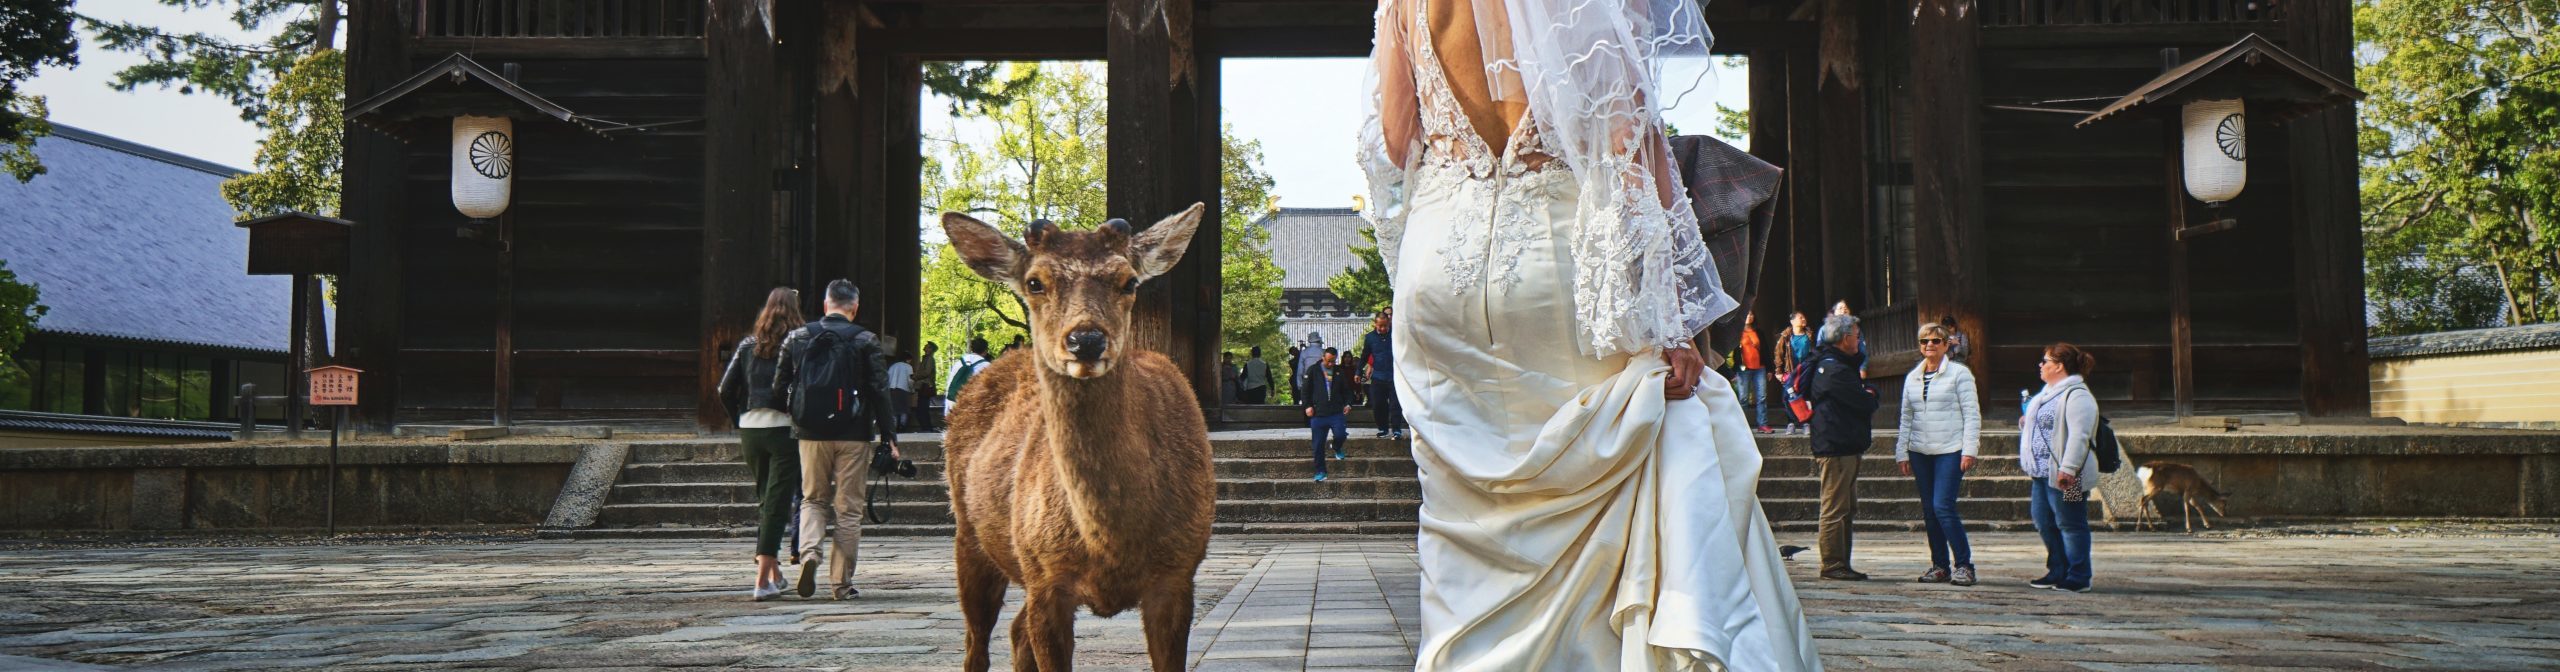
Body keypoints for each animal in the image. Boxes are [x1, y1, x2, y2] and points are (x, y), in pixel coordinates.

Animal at [942, 205, 1218, 671]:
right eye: (1035, 282)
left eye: (1129, 281)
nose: (1085, 340)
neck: (1110, 543)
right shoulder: (1046, 576)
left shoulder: (1179, 572)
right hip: (971, 538)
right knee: (975, 643)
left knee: (1016, 633)